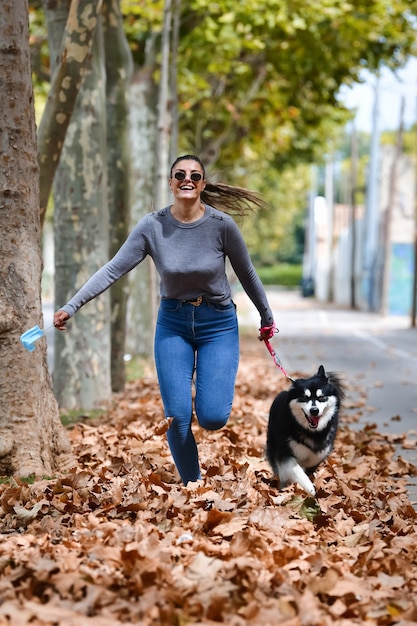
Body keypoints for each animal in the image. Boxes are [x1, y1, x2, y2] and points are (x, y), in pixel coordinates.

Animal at [266, 364, 344, 494]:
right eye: (304, 397)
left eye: (322, 397)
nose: (314, 410)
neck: (312, 432)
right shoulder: (284, 452)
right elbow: (296, 470)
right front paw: (308, 487)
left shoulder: (319, 454)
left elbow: (312, 461)